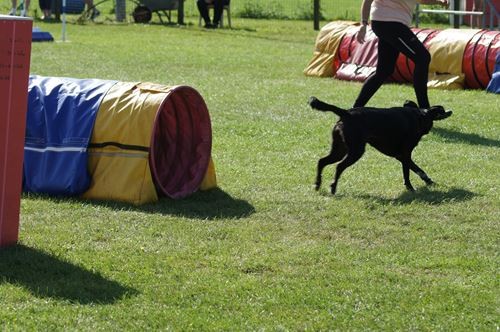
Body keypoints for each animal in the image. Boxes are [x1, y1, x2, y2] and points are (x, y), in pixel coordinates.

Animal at [310, 96, 452, 195]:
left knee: (322, 161)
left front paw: (428, 181)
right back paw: (333, 187)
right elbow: (407, 172)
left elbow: (417, 169)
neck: (420, 115)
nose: (450, 111)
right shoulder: (405, 154)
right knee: (339, 167)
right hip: (356, 151)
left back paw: (317, 184)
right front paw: (410, 188)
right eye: (442, 109)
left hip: (340, 150)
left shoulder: (401, 156)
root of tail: (346, 113)